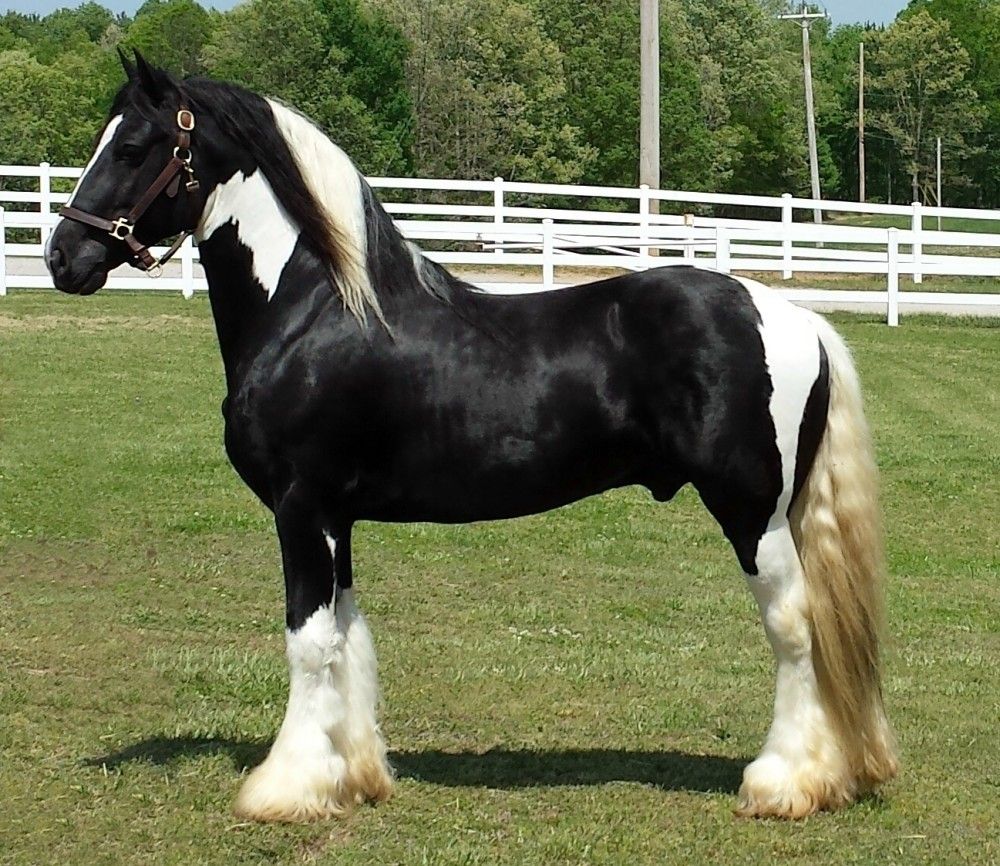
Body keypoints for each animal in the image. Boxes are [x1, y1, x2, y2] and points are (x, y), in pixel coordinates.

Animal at [45, 50, 900, 820]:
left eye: (133, 146)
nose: (63, 257)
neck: (313, 310)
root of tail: (794, 317)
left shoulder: (301, 507)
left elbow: (309, 641)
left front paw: (285, 791)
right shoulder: (337, 518)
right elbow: (349, 637)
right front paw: (354, 775)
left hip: (752, 513)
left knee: (794, 629)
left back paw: (785, 784)